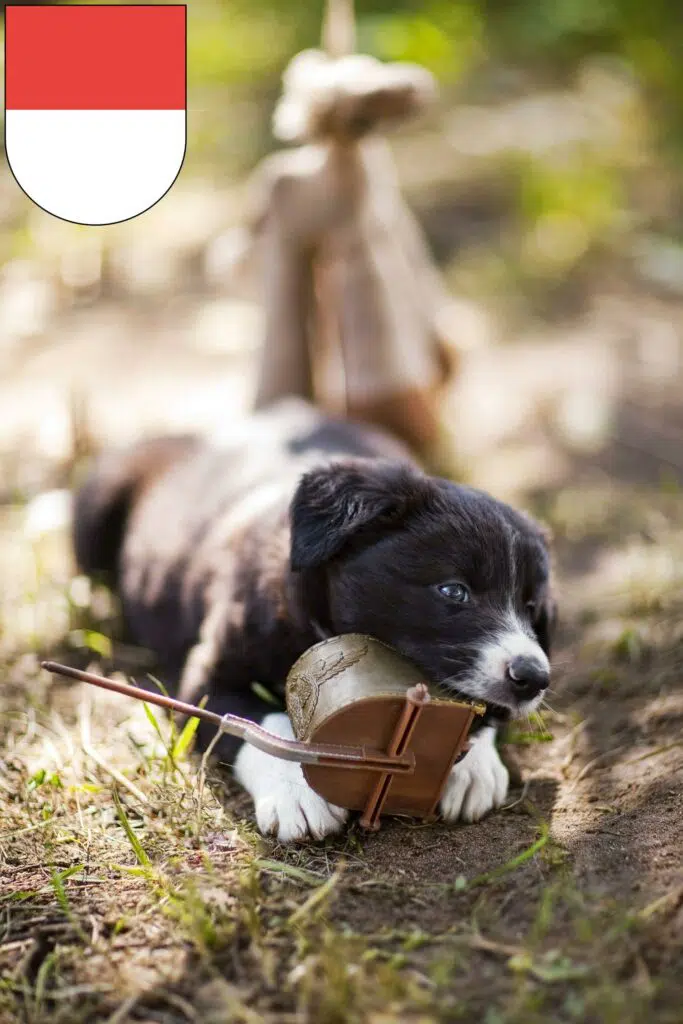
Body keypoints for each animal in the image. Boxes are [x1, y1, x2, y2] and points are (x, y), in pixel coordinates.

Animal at [74, 399, 557, 839]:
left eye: (532, 607)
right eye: (453, 590)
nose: (534, 678)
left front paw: (475, 767)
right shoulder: (207, 676)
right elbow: (260, 724)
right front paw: (296, 794)